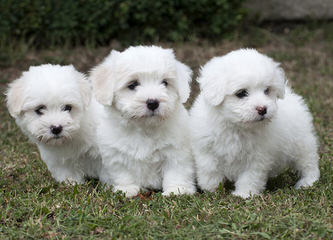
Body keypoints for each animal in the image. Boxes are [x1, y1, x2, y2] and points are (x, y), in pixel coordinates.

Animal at [89, 45, 196, 197]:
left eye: (165, 83)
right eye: (133, 84)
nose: (153, 102)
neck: (144, 128)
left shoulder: (176, 151)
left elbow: (176, 171)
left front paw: (177, 190)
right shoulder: (115, 153)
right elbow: (123, 173)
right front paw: (127, 189)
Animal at [191, 49, 320, 199]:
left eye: (267, 90)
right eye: (241, 93)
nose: (263, 109)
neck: (236, 126)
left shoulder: (257, 157)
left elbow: (250, 176)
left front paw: (244, 194)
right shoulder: (206, 150)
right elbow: (209, 171)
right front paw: (212, 190)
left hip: (301, 143)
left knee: (308, 163)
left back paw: (308, 182)